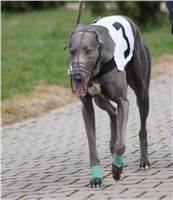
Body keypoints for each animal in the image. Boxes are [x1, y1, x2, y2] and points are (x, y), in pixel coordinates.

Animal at [67, 2, 150, 188]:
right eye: (71, 51)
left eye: (88, 50)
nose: (76, 77)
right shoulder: (87, 106)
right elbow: (92, 144)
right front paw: (96, 178)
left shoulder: (123, 101)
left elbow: (122, 144)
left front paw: (117, 170)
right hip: (100, 98)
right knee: (112, 113)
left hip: (142, 91)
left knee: (141, 127)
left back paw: (144, 162)